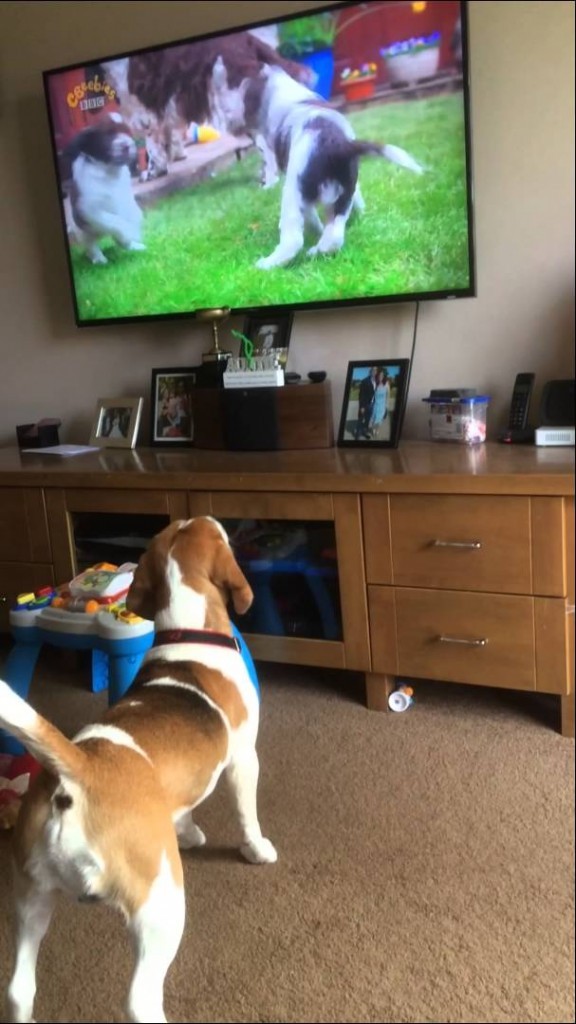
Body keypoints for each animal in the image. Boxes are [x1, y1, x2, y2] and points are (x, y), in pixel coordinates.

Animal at [0, 516, 276, 1024]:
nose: (214, 518)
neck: (187, 631)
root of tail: (80, 769)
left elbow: (184, 807)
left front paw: (188, 832)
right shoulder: (244, 758)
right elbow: (247, 814)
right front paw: (258, 850)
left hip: (30, 898)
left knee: (18, 989)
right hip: (160, 906)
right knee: (139, 999)